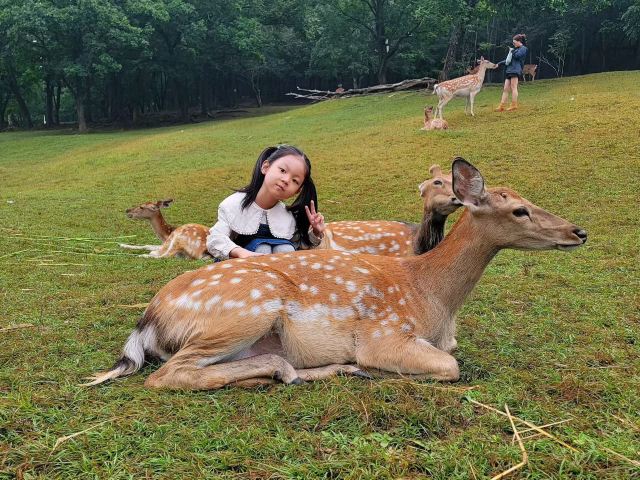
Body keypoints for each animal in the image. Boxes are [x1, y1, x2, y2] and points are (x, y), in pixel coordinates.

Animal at [85, 158, 587, 390]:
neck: (433, 297)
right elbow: (450, 366)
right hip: (242, 310)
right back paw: (297, 370)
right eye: (519, 210)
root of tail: (147, 320)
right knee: (166, 374)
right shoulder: (385, 333)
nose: (578, 231)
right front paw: (377, 370)